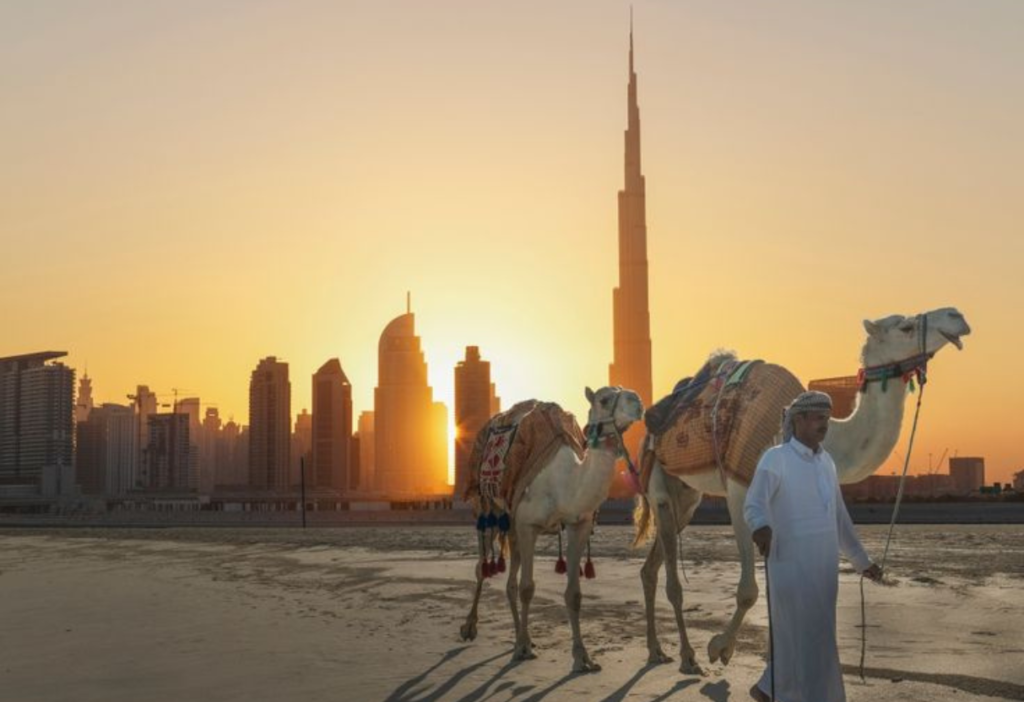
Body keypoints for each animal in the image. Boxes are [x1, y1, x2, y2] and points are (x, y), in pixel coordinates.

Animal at [460, 386, 643, 675]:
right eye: (604, 399)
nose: (638, 401)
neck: (566, 483)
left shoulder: (578, 524)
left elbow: (574, 594)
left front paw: (582, 658)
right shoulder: (529, 525)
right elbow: (527, 588)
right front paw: (521, 650)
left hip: (512, 524)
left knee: (510, 582)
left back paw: (522, 637)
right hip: (485, 508)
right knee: (482, 568)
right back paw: (471, 628)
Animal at [634, 306, 970, 675]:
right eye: (906, 327)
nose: (957, 315)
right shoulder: (740, 489)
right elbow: (749, 590)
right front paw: (720, 647)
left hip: (687, 497)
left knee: (650, 568)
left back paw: (656, 650)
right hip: (659, 484)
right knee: (671, 578)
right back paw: (687, 656)